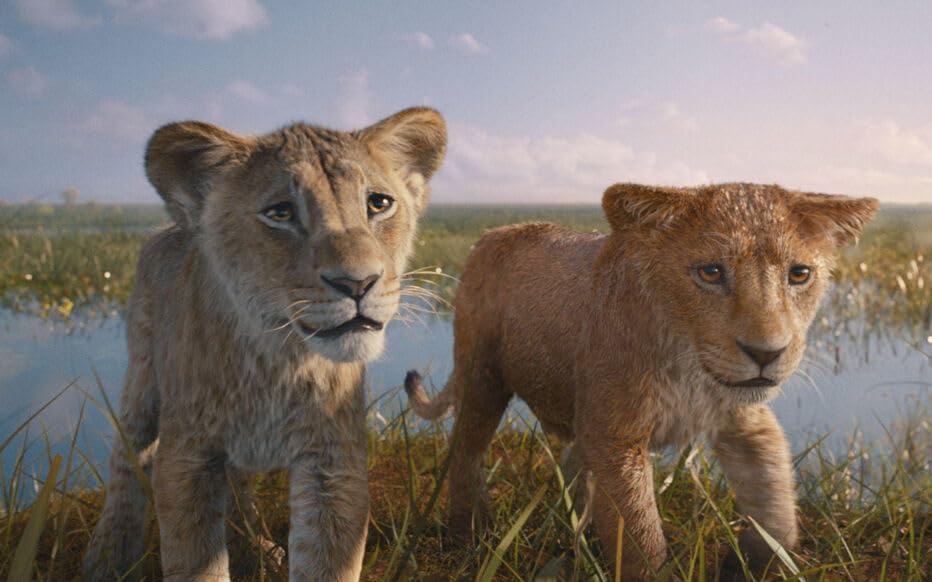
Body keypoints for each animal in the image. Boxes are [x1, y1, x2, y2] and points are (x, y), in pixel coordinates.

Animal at [83, 107, 446, 581]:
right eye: (281, 212)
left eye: (378, 203)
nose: (358, 283)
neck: (279, 359)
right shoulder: (188, 458)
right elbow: (194, 561)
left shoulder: (332, 463)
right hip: (141, 377)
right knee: (128, 458)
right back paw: (107, 556)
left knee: (237, 484)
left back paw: (253, 546)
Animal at [404, 183, 878, 579]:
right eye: (711, 273)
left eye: (799, 274)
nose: (767, 354)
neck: (689, 365)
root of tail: (492, 233)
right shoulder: (616, 435)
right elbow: (640, 534)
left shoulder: (745, 422)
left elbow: (775, 502)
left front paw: (758, 563)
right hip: (482, 376)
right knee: (466, 451)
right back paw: (469, 535)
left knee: (574, 466)